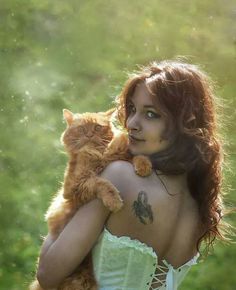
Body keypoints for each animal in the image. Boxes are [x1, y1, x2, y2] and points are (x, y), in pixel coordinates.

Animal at [30, 108, 151, 290]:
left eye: (97, 128)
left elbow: (135, 156)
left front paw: (144, 166)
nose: (88, 134)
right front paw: (114, 200)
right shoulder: (75, 186)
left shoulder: (121, 155)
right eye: (81, 129)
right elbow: (100, 182)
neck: (100, 153)